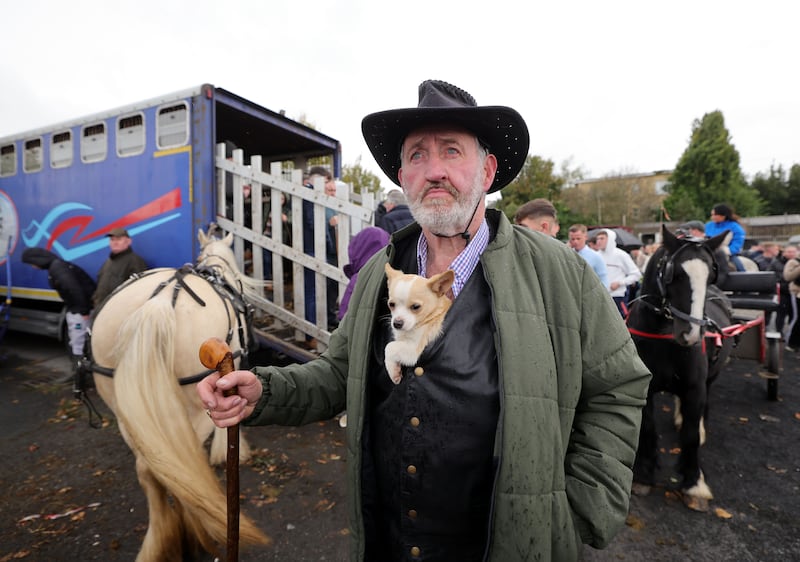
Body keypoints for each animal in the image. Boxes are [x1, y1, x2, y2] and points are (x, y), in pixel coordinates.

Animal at [88, 229, 268, 560]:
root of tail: (158, 304)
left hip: (126, 413)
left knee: (153, 470)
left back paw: (161, 541)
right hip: (193, 412)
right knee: (183, 472)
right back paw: (195, 534)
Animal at [628, 224, 736, 512]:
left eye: (710, 275)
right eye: (673, 274)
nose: (691, 334)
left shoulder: (695, 387)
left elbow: (690, 435)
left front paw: (694, 484)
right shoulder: (644, 389)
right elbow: (648, 428)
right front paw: (644, 475)